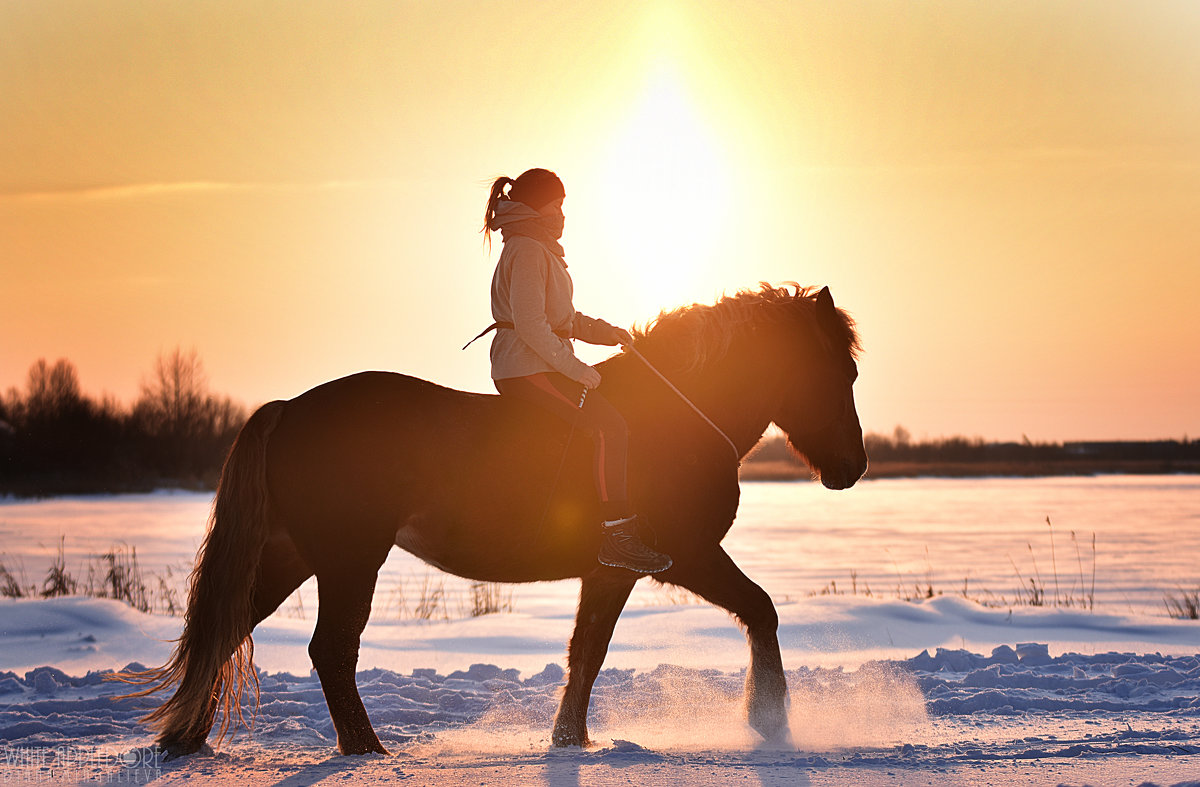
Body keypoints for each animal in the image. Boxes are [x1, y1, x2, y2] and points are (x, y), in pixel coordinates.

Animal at [126, 283, 868, 758]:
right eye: (836, 371)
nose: (853, 465)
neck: (676, 414)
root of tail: (288, 409)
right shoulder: (683, 555)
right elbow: (761, 609)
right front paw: (770, 719)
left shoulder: (610, 573)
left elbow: (586, 652)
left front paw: (570, 740)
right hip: (348, 559)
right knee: (329, 650)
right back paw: (366, 750)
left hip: (290, 555)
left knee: (226, 628)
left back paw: (187, 737)